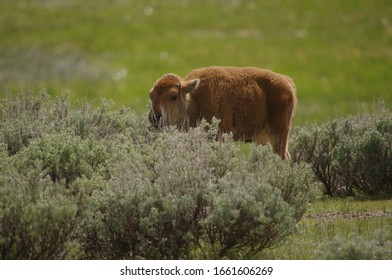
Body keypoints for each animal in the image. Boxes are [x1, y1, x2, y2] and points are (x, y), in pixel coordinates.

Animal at [149, 66, 296, 161]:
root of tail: (287, 82)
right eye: (151, 96)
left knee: (283, 157)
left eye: (173, 96)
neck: (196, 99)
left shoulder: (219, 136)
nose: (154, 118)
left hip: (278, 133)